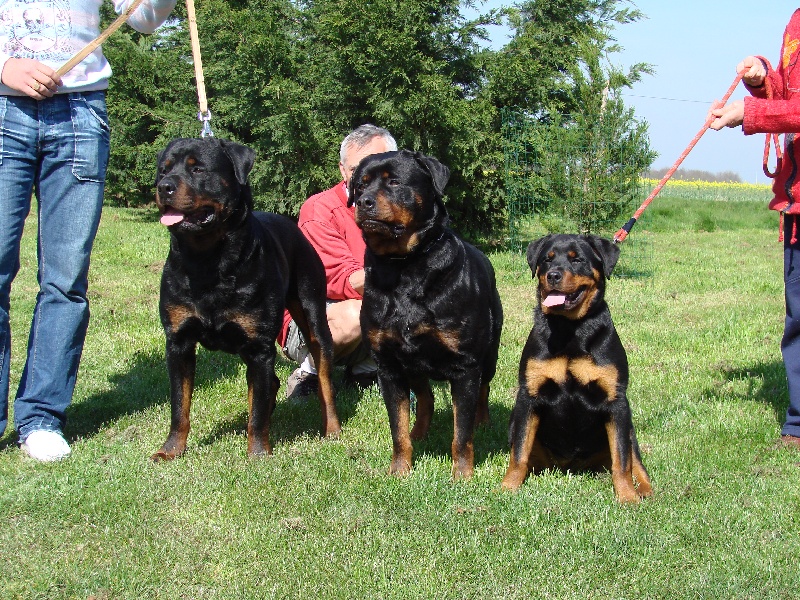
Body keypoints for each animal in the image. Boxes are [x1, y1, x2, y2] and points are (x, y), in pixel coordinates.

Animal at [152, 139, 340, 460]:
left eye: (197, 169)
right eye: (163, 170)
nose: (164, 187)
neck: (207, 260)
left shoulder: (258, 346)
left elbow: (258, 408)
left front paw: (258, 454)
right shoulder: (178, 342)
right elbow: (179, 405)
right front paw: (171, 450)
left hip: (313, 315)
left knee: (324, 377)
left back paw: (332, 428)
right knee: (270, 384)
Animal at [348, 150, 504, 478]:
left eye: (394, 182)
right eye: (360, 185)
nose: (363, 202)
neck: (404, 266)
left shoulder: (465, 366)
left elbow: (461, 433)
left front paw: (462, 475)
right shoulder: (389, 366)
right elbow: (397, 427)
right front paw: (399, 470)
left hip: (489, 353)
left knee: (483, 388)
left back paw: (483, 421)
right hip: (413, 364)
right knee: (426, 397)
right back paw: (419, 432)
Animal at [504, 234, 652, 502]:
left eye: (578, 260)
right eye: (547, 259)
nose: (553, 275)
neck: (569, 330)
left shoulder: (616, 402)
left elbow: (622, 460)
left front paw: (627, 496)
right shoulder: (528, 396)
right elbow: (519, 451)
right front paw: (508, 487)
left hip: (630, 428)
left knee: (635, 459)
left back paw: (645, 490)